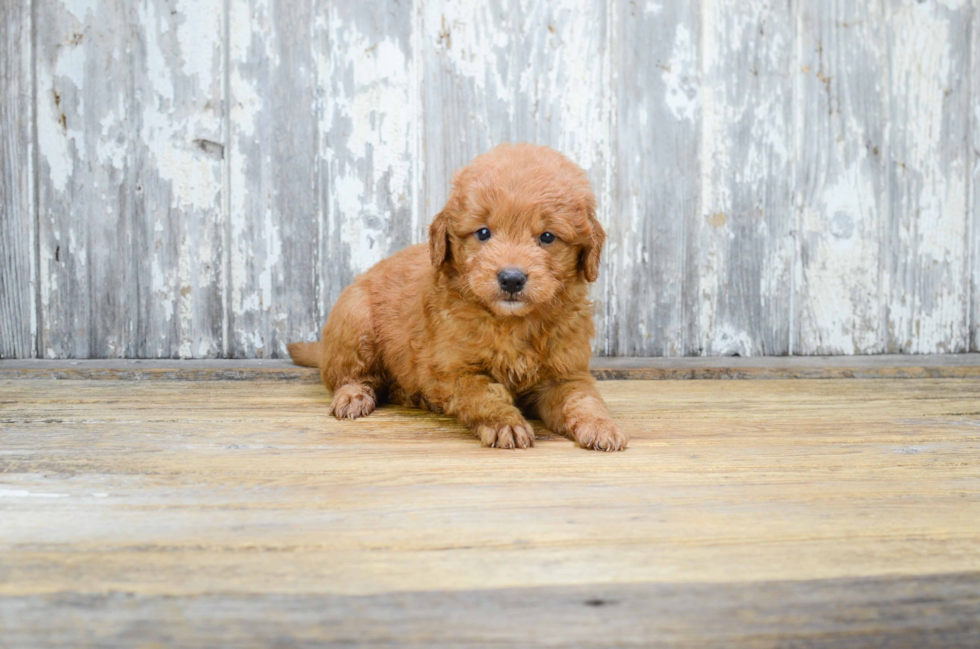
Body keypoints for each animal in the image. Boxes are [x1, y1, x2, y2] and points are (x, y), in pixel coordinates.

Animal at [288, 142, 632, 450]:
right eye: (483, 233)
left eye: (547, 237)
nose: (511, 278)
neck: (511, 322)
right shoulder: (455, 370)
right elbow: (485, 394)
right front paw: (505, 423)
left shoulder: (566, 374)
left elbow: (584, 399)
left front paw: (602, 426)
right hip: (354, 319)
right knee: (350, 375)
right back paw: (354, 395)